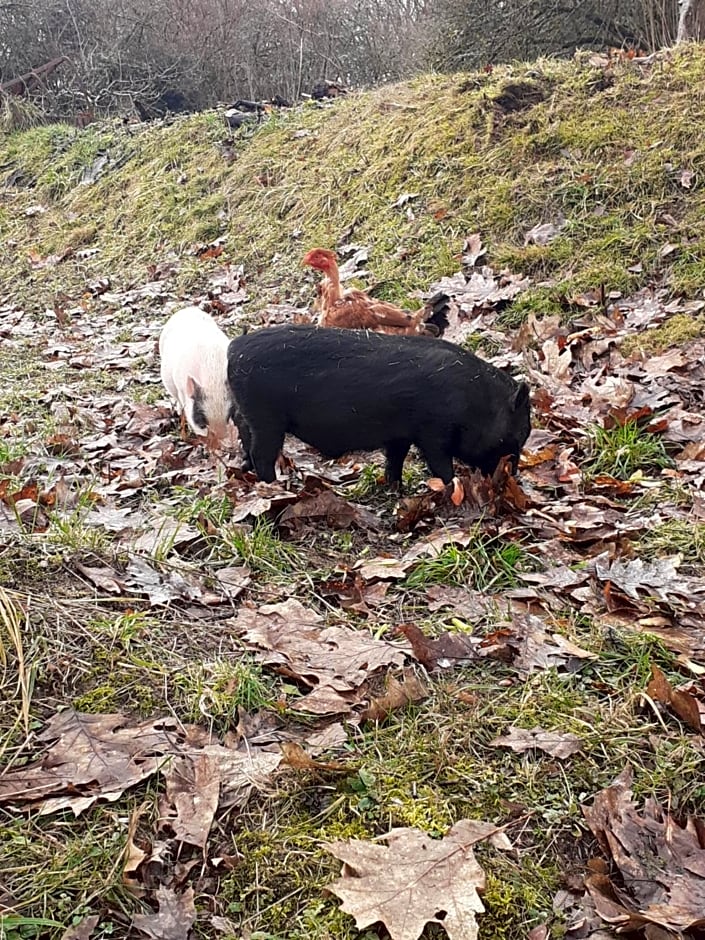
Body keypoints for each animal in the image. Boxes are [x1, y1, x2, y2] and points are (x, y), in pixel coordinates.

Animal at [228, 324, 532, 484]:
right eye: (517, 434)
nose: (514, 478)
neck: (474, 405)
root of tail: (234, 349)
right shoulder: (433, 432)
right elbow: (440, 465)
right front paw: (452, 487)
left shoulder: (400, 436)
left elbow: (394, 460)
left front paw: (396, 488)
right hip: (266, 418)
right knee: (261, 453)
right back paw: (274, 485)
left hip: (250, 414)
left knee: (244, 436)